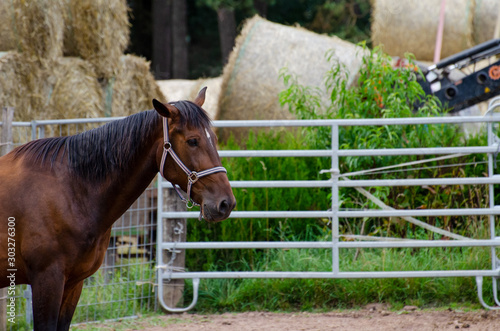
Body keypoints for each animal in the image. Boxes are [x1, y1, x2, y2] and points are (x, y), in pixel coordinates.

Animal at [0, 89, 235, 331]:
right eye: (193, 141)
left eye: (214, 139)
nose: (226, 203)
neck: (70, 191)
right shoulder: (47, 280)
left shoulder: (73, 284)